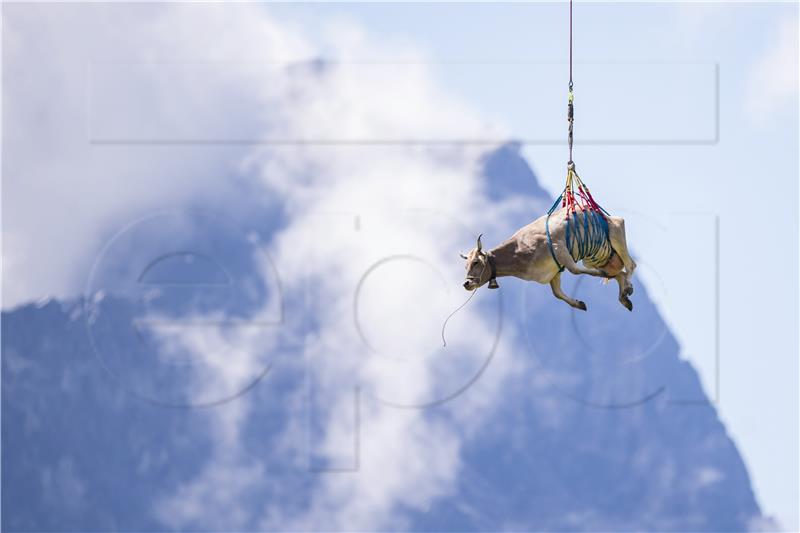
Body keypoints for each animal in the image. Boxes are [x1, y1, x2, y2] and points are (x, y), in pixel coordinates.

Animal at [462, 206, 636, 310]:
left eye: (476, 262)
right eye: (466, 265)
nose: (467, 283)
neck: (519, 250)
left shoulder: (560, 249)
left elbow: (575, 271)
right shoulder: (553, 271)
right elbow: (557, 293)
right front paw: (579, 304)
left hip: (615, 232)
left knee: (630, 265)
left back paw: (627, 287)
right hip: (596, 257)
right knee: (619, 273)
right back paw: (624, 297)